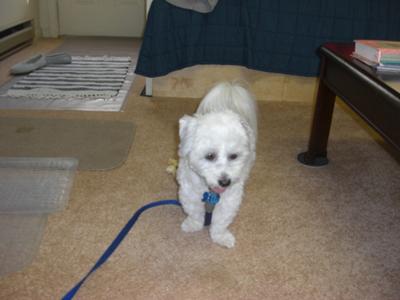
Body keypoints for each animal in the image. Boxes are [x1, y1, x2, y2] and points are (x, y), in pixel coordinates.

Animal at [177, 82, 258, 248]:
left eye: (233, 156)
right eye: (210, 156)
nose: (225, 182)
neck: (211, 192)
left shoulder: (230, 198)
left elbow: (221, 220)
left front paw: (220, 236)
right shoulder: (189, 191)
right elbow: (194, 210)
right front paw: (193, 224)